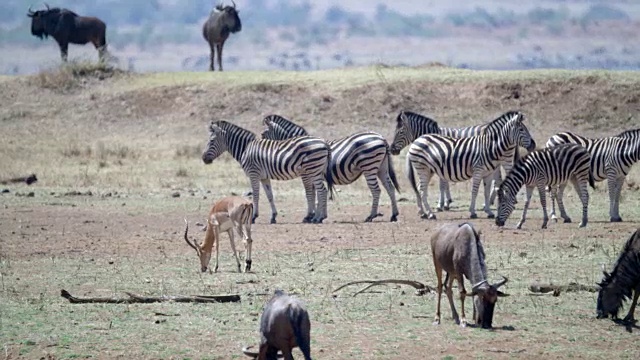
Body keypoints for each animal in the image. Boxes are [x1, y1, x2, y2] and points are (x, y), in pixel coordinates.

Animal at [202, 119, 336, 224]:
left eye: (212, 141)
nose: (203, 158)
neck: (246, 148)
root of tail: (323, 142)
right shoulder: (264, 177)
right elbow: (270, 195)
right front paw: (273, 217)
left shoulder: (253, 174)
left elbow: (256, 195)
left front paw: (253, 217)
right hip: (316, 170)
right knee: (321, 191)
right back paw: (319, 216)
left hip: (313, 169)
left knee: (322, 191)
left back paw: (318, 218)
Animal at [260, 115, 400, 222]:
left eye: (263, 134)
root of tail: (381, 137)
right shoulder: (314, 175)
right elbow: (318, 194)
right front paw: (320, 215)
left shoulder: (307, 174)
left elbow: (310, 193)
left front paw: (311, 216)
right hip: (381, 168)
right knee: (390, 187)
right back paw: (394, 215)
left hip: (369, 166)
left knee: (376, 190)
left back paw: (371, 216)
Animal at [404, 112, 536, 219]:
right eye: (522, 130)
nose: (533, 145)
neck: (490, 147)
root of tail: (417, 140)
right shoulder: (478, 171)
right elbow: (475, 191)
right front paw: (472, 212)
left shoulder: (487, 173)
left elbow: (486, 192)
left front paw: (489, 212)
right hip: (423, 168)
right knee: (422, 190)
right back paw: (430, 214)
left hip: (427, 170)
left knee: (419, 188)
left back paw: (423, 212)